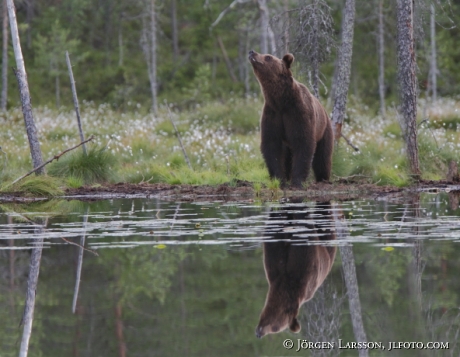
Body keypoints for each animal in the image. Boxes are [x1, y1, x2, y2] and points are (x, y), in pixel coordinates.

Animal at [250, 51, 332, 188]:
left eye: (268, 57)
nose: (252, 52)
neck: (281, 100)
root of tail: (325, 110)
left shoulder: (298, 113)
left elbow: (303, 142)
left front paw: (297, 181)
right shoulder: (273, 114)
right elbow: (271, 145)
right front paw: (279, 179)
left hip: (324, 130)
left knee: (323, 156)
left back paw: (323, 178)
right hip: (287, 143)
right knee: (287, 157)